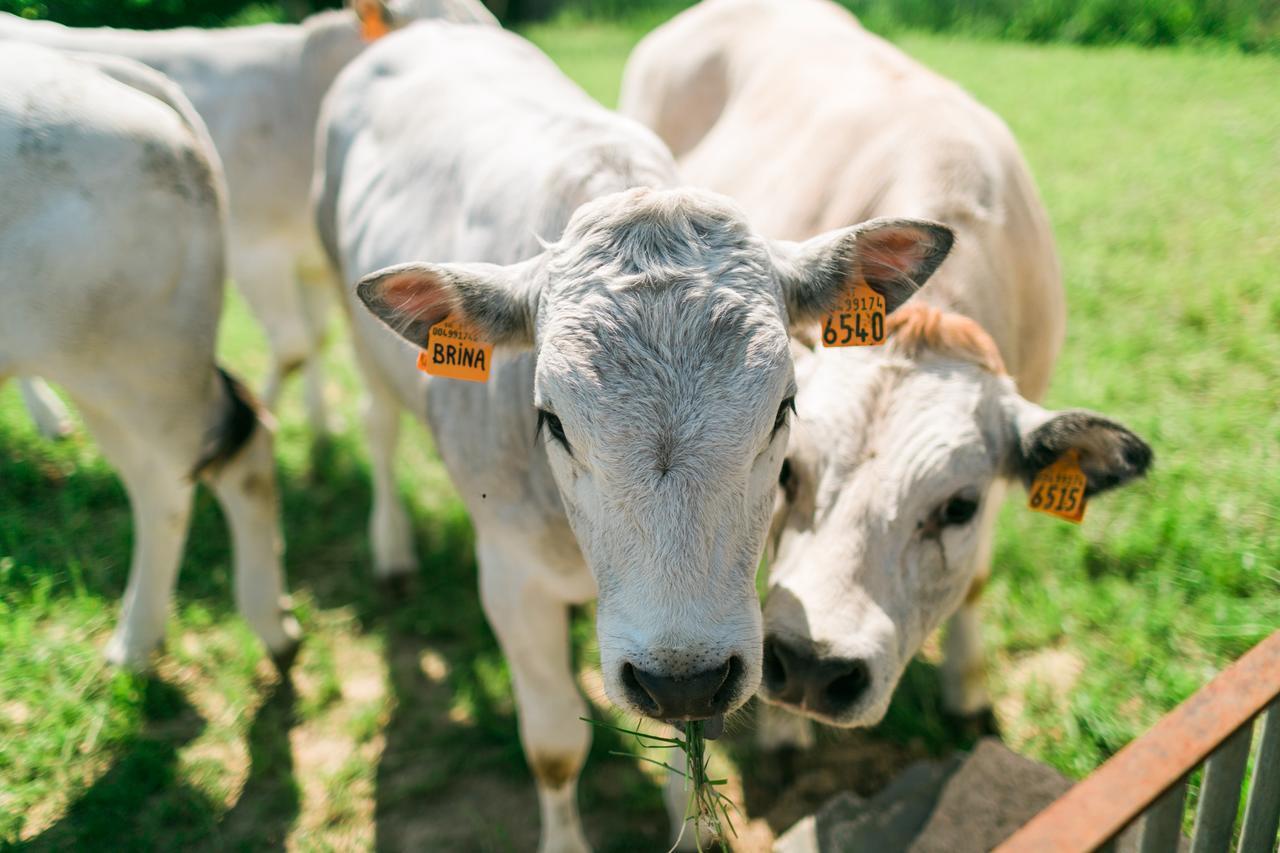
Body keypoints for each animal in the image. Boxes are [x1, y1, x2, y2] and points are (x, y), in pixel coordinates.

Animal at [0, 46, 300, 666]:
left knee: (236, 458)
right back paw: (137, 642)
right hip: (107, 371)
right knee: (163, 487)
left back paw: (268, 628)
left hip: (141, 367)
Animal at [1, 0, 494, 438]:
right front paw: (269, 413)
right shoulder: (255, 253)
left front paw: (322, 424)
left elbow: (317, 338)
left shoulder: (316, 260)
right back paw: (48, 415)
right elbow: (294, 347)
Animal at [313, 21, 952, 850]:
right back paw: (392, 551)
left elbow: (687, 756)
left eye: (784, 408)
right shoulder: (510, 577)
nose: (679, 676)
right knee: (380, 427)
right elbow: (554, 746)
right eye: (552, 418)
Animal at [619, 0, 1152, 732]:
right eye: (788, 471)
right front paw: (783, 732)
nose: (813, 666)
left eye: (959, 506)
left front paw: (967, 691)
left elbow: (974, 580)